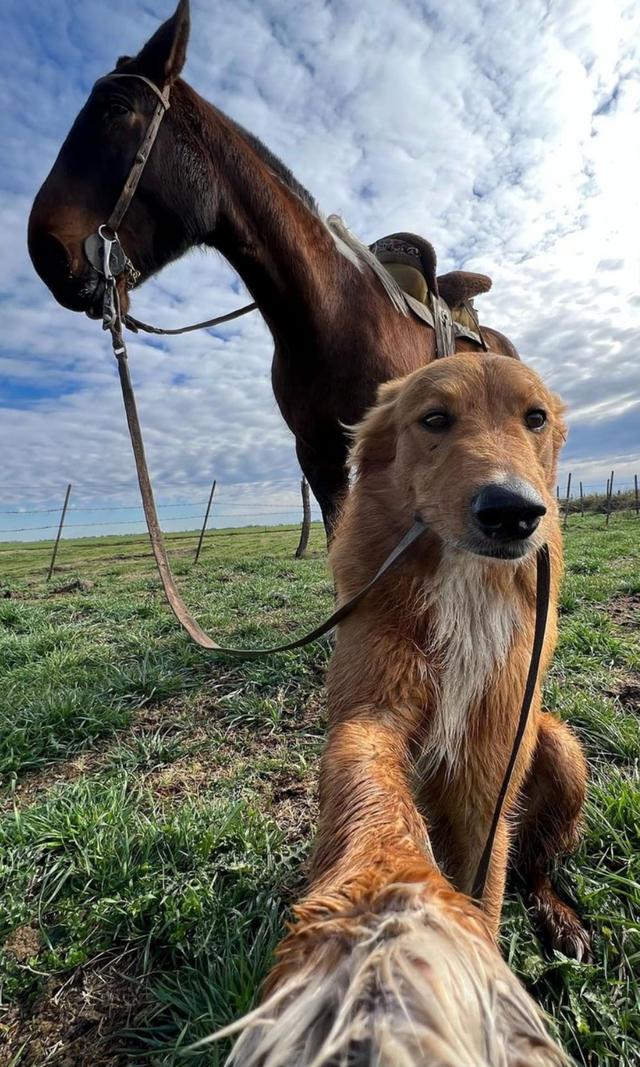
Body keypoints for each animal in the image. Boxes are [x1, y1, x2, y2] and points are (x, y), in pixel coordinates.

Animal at [213, 356, 584, 1067]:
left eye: (534, 418)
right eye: (434, 419)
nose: (514, 512)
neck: (463, 581)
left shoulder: (495, 755)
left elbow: (490, 880)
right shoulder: (368, 714)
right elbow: (374, 801)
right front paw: (387, 931)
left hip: (560, 745)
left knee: (537, 863)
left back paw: (560, 917)